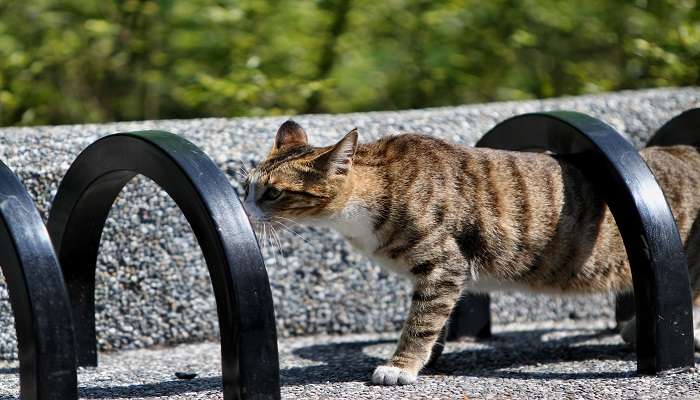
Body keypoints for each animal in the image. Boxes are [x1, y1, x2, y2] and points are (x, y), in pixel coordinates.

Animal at [242, 120, 700, 386]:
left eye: (273, 193)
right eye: (246, 187)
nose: (243, 210)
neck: (378, 189)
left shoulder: (443, 264)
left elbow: (421, 321)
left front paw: (401, 365)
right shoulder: (436, 275)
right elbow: (435, 319)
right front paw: (431, 357)